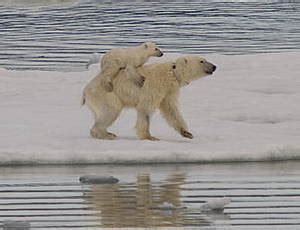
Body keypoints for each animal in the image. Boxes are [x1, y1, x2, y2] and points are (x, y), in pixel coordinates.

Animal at [82, 55, 217, 140]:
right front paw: (149, 137)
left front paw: (187, 133)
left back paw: (107, 132)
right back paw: (104, 134)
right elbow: (145, 109)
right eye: (202, 61)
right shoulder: (156, 86)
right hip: (106, 94)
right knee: (111, 110)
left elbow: (171, 109)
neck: (172, 73)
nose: (214, 66)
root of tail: (86, 90)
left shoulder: (169, 91)